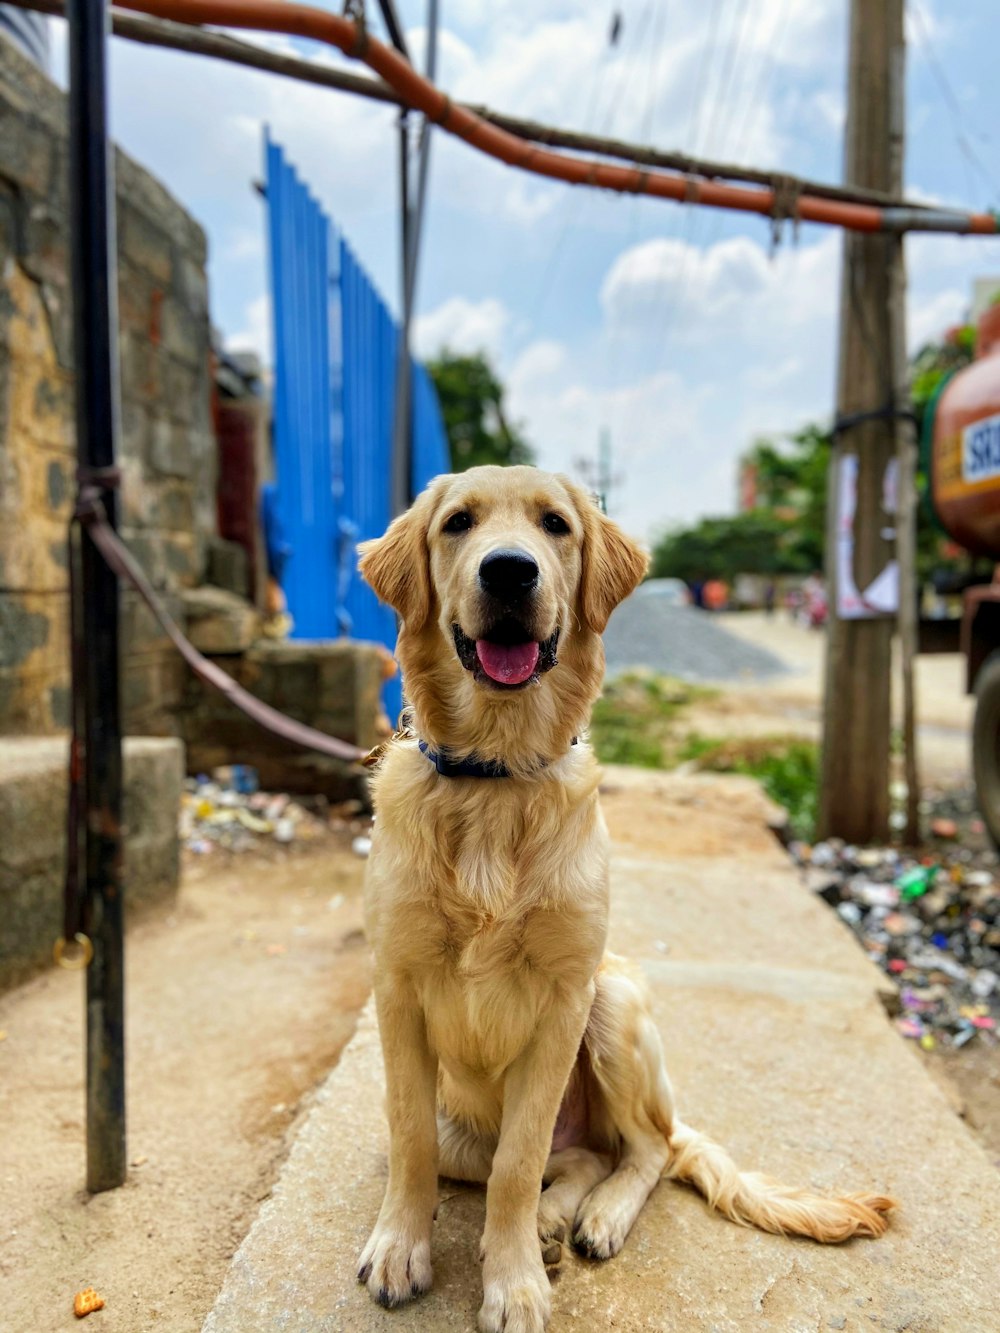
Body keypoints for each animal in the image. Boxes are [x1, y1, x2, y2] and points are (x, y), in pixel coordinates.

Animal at [354, 469, 890, 1333]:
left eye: (555, 525)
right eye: (459, 522)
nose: (510, 571)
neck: (496, 775)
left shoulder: (564, 997)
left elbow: (520, 1160)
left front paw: (512, 1283)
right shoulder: (396, 987)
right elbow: (411, 1139)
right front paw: (403, 1247)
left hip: (613, 1002)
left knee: (642, 1151)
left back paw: (590, 1218)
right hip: (469, 1122)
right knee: (566, 1155)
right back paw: (553, 1217)